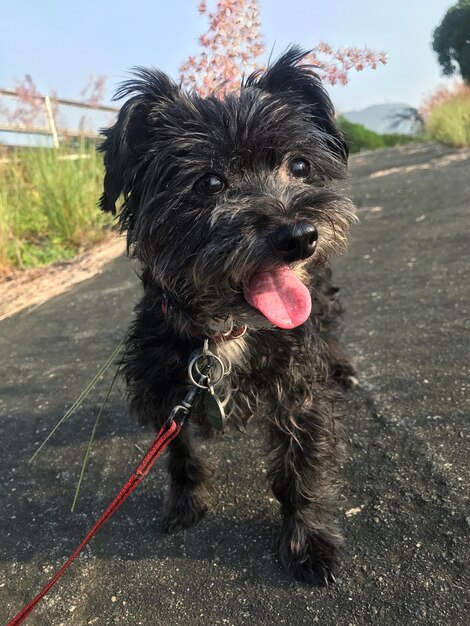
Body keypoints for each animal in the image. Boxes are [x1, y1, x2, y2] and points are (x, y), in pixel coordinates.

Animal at [99, 46, 356, 584]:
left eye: (299, 165)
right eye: (210, 182)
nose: (300, 236)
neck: (223, 333)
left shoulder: (298, 388)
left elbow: (300, 469)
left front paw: (309, 543)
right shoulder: (164, 387)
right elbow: (178, 452)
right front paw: (186, 502)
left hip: (319, 297)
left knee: (329, 327)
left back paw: (342, 367)